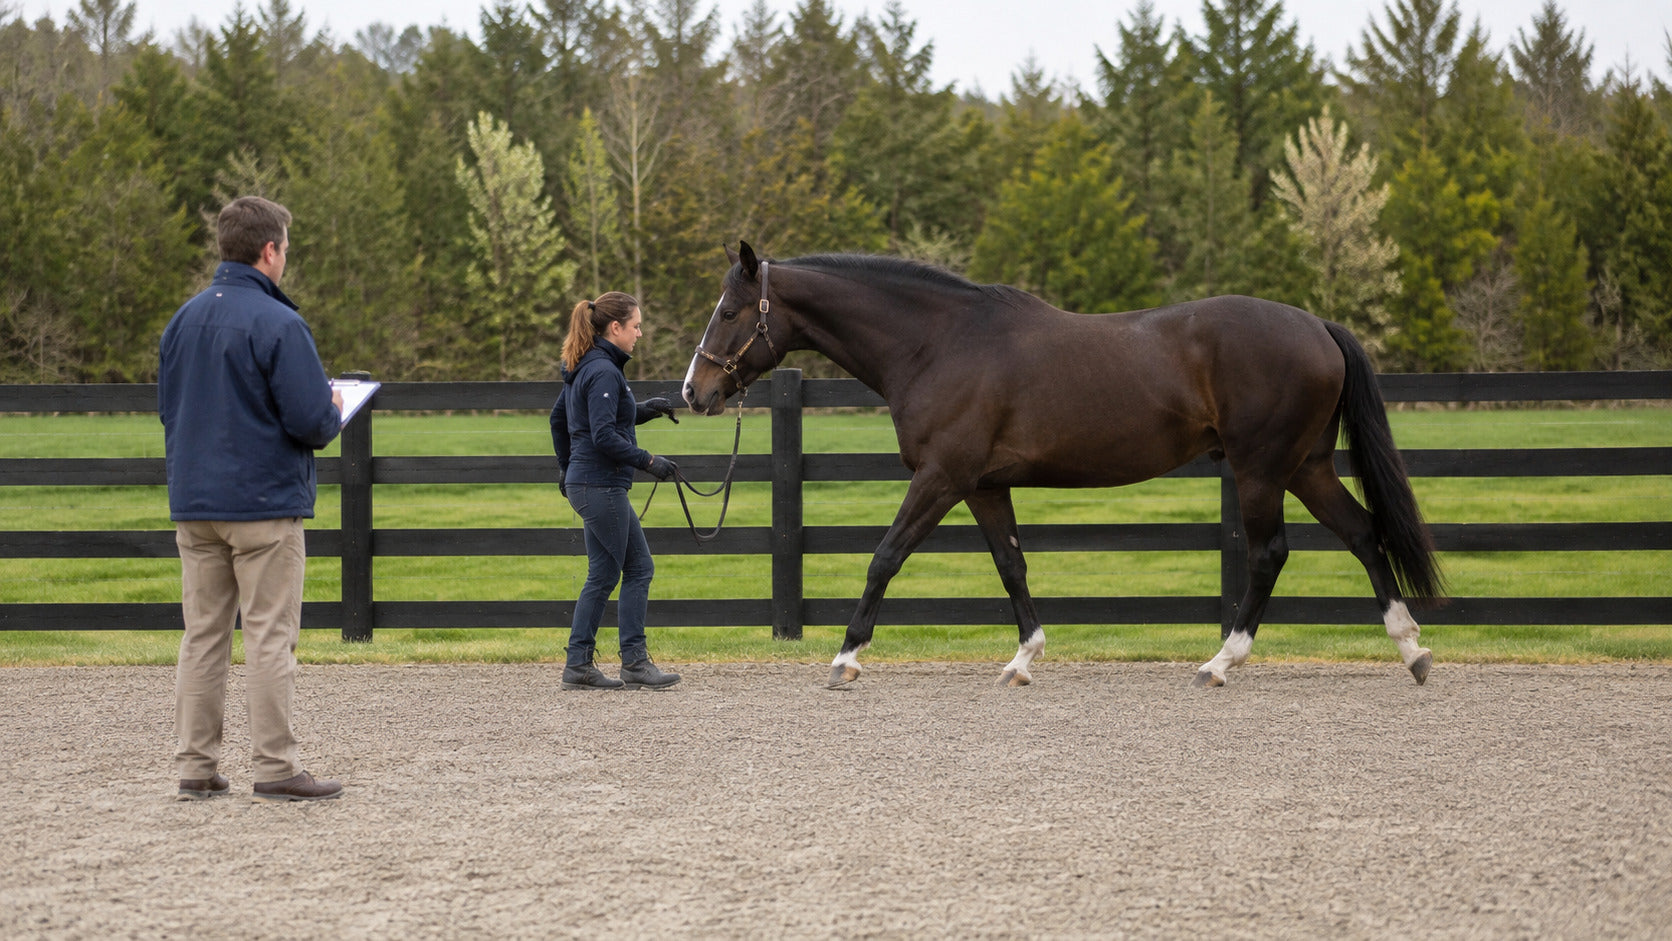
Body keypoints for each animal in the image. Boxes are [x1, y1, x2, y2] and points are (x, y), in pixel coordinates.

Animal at [682, 242, 1444, 689]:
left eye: (729, 311)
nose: (695, 392)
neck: (939, 343)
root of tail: (1318, 327)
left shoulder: (941, 478)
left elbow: (885, 556)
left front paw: (846, 658)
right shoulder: (984, 486)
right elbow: (1011, 565)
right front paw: (1023, 659)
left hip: (1262, 470)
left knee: (1270, 555)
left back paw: (1220, 663)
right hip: (1306, 467)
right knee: (1363, 534)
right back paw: (1412, 651)